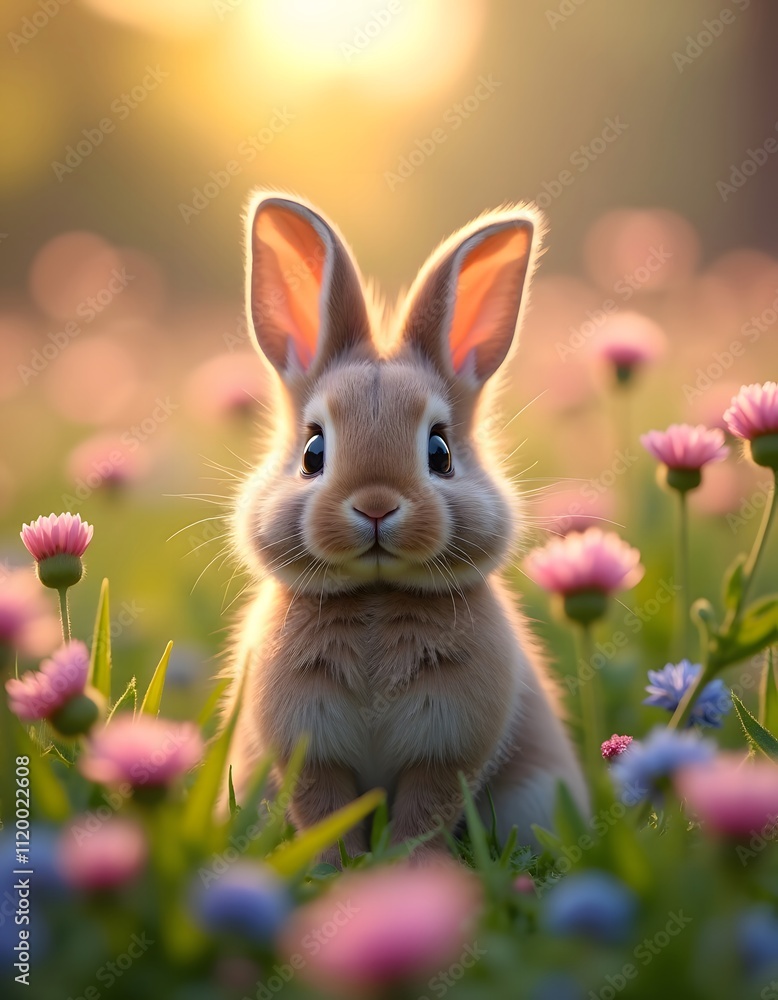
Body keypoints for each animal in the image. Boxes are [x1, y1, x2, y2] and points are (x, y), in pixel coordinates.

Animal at [220, 190, 589, 862]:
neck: (375, 594)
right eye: (313, 451)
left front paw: (406, 868)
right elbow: (324, 810)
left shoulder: (444, 753)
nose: (375, 506)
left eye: (439, 451)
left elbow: (424, 812)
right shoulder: (311, 755)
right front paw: (339, 867)